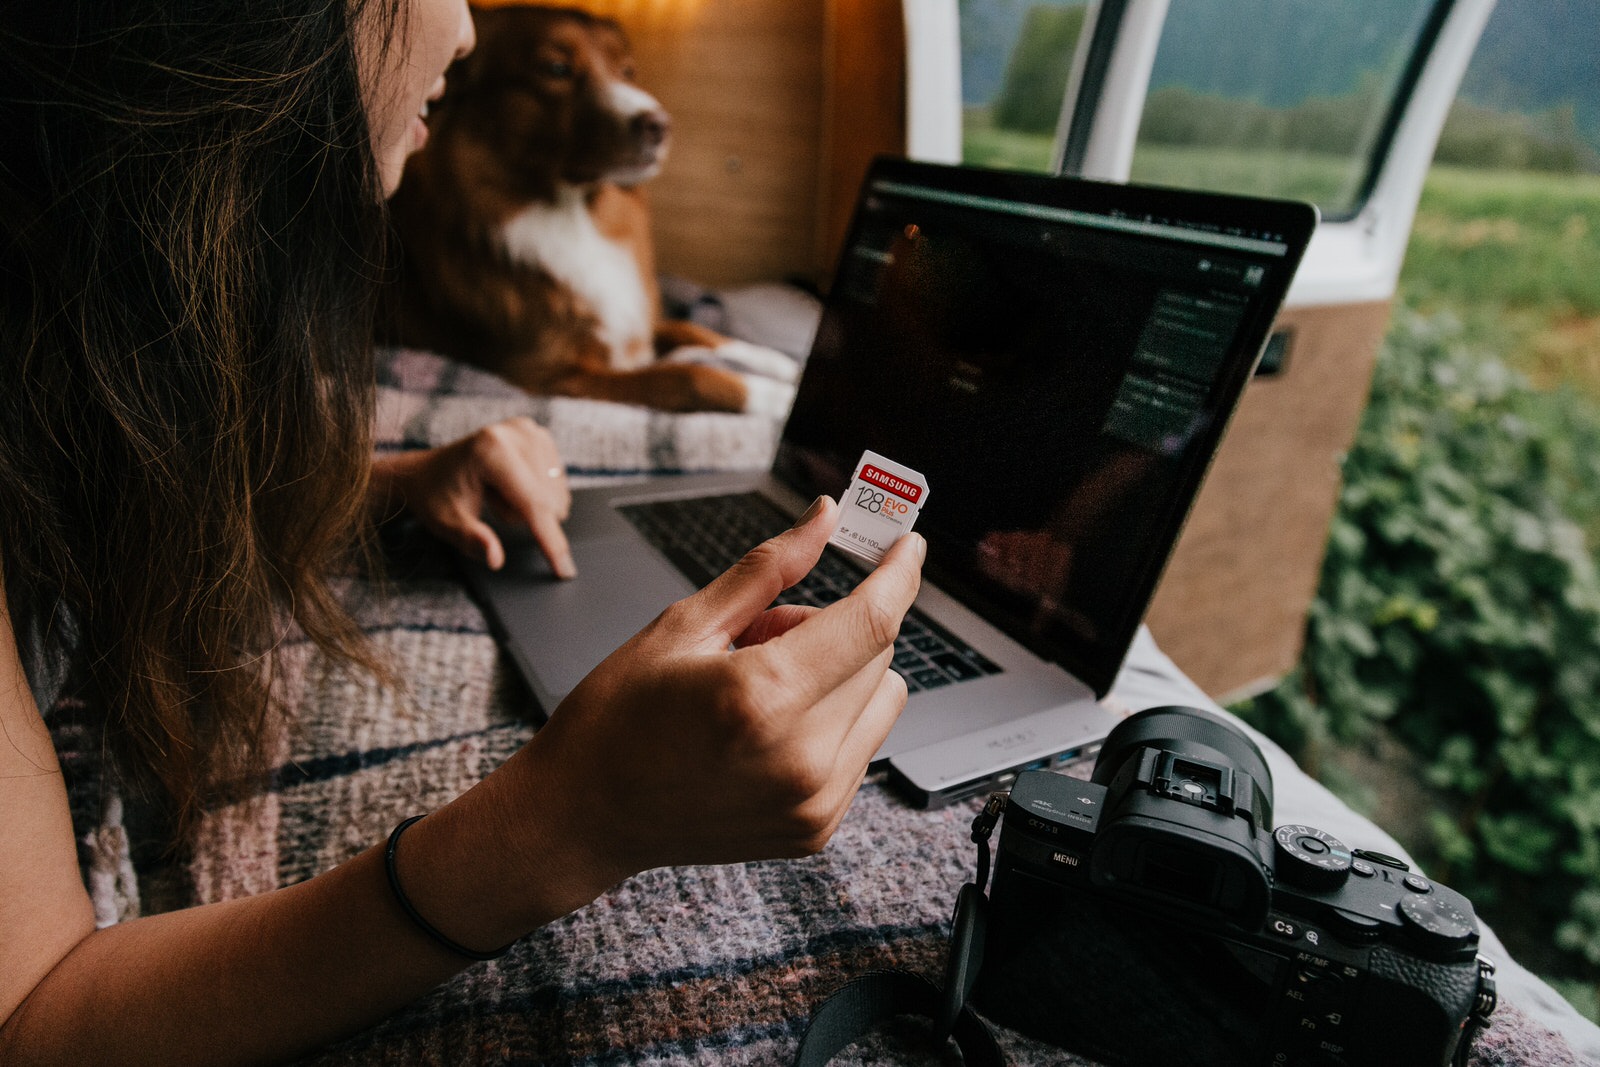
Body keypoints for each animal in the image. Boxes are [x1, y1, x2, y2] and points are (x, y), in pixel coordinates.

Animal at [380, 7, 793, 415]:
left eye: (627, 71)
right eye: (556, 69)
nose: (661, 125)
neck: (575, 217)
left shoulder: (631, 321)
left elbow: (693, 329)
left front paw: (782, 364)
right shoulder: (556, 374)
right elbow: (688, 376)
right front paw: (776, 397)